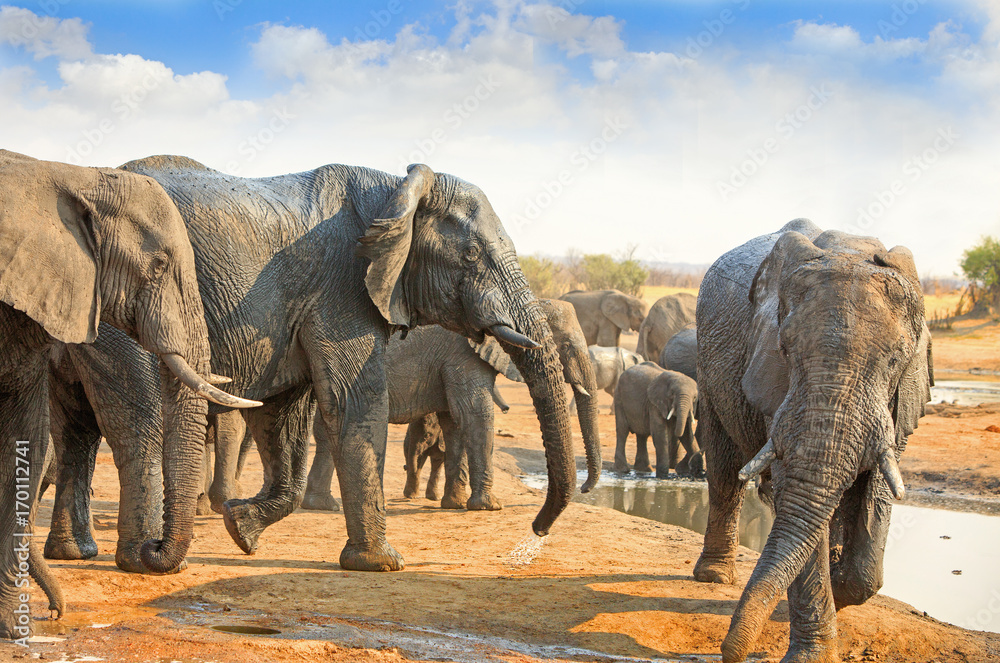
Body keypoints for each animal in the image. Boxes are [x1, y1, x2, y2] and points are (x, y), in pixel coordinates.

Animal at [0, 151, 256, 637]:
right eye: (157, 265)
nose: (55, 612)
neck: (71, 176)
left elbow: (22, 435)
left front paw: (12, 626)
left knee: (79, 432)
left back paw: (80, 555)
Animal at [46, 156, 577, 574]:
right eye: (470, 255)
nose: (537, 531)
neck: (395, 189)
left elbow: (281, 415)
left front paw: (240, 528)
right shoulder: (343, 288)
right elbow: (355, 402)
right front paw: (380, 563)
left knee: (76, 429)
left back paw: (76, 553)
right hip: (117, 300)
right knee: (137, 420)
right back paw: (141, 557)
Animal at [692, 219, 932, 663]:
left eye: (895, 360)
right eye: (784, 348)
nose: (727, 652)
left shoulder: (898, 400)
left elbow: (875, 492)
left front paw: (841, 583)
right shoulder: (775, 384)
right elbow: (794, 491)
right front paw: (813, 653)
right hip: (707, 365)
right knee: (724, 470)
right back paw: (714, 577)